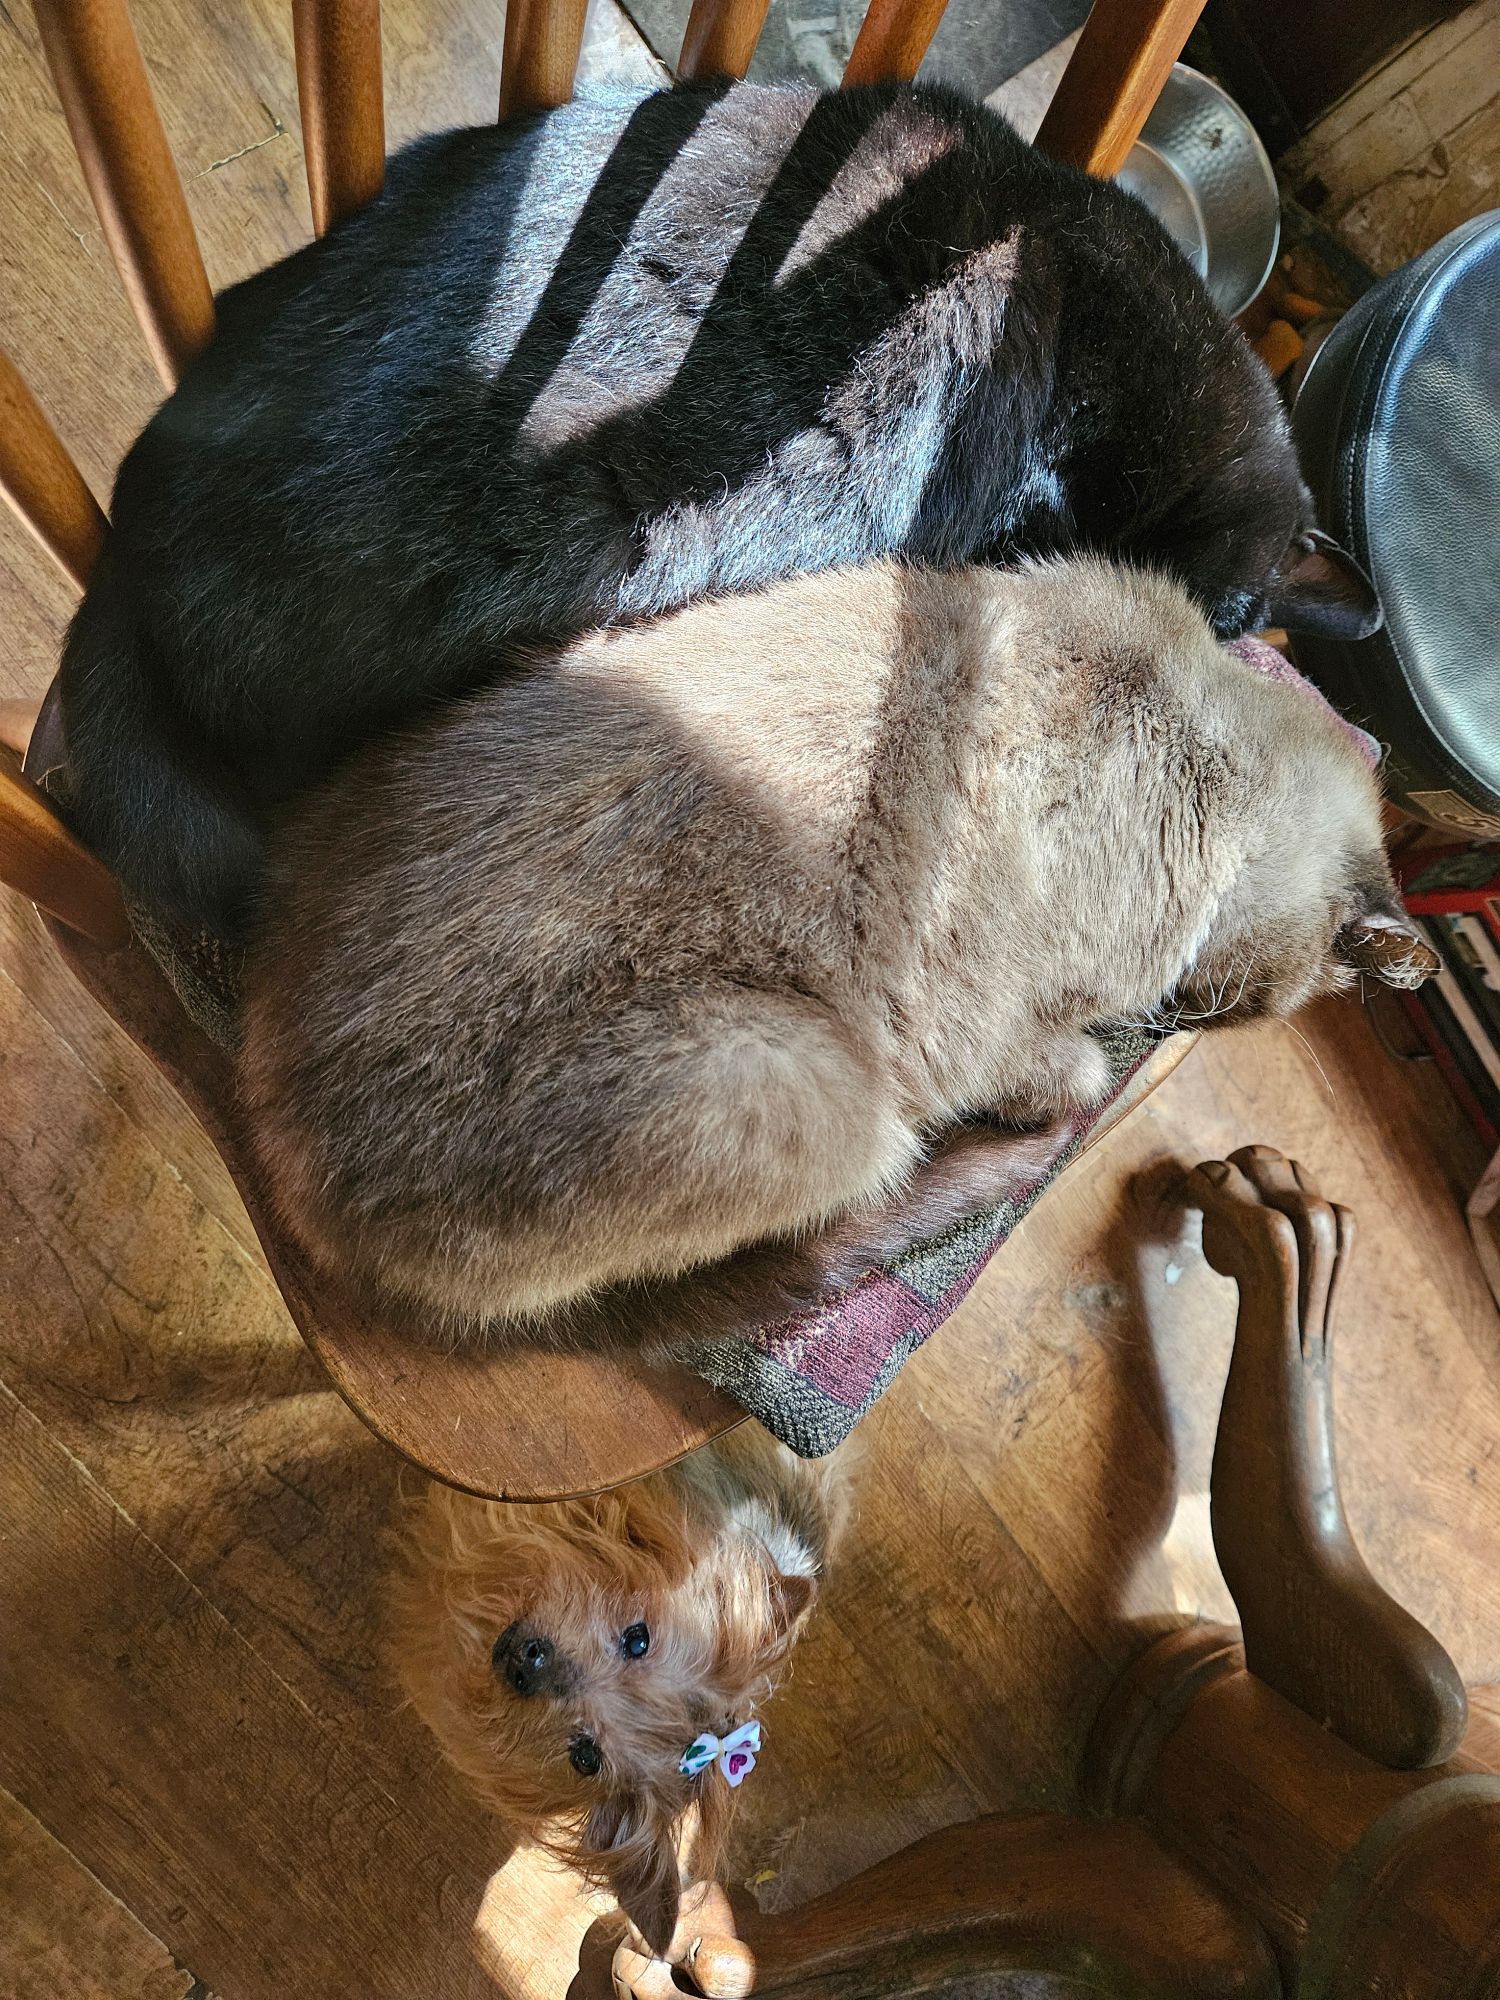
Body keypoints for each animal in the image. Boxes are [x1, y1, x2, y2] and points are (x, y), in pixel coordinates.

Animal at [241, 556, 1440, 1352]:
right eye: (1255, 1010)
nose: (1199, 1020)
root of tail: (277, 1149)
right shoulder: (1015, 1028)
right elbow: (1070, 1068)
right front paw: (1086, 1079)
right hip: (811, 1084)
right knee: (797, 1241)